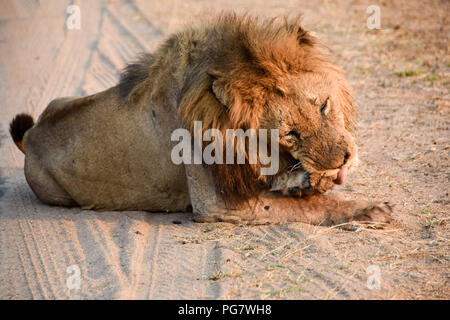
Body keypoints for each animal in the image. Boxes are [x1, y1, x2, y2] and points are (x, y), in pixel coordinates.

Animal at [8, 14, 392, 225]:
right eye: (291, 134)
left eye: (324, 106)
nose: (343, 159)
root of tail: (32, 137)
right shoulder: (215, 203)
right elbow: (310, 207)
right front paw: (368, 209)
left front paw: (304, 182)